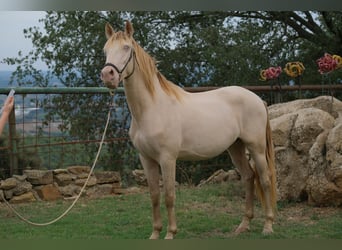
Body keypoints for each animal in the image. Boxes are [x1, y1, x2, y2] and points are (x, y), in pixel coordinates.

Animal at [100, 20, 276, 239]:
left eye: (126, 48)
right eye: (106, 50)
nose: (107, 75)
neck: (152, 109)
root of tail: (257, 99)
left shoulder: (167, 159)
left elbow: (169, 196)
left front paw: (170, 234)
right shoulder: (146, 159)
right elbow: (154, 196)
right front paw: (155, 234)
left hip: (256, 147)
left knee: (265, 180)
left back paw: (268, 226)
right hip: (235, 147)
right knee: (249, 177)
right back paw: (243, 225)